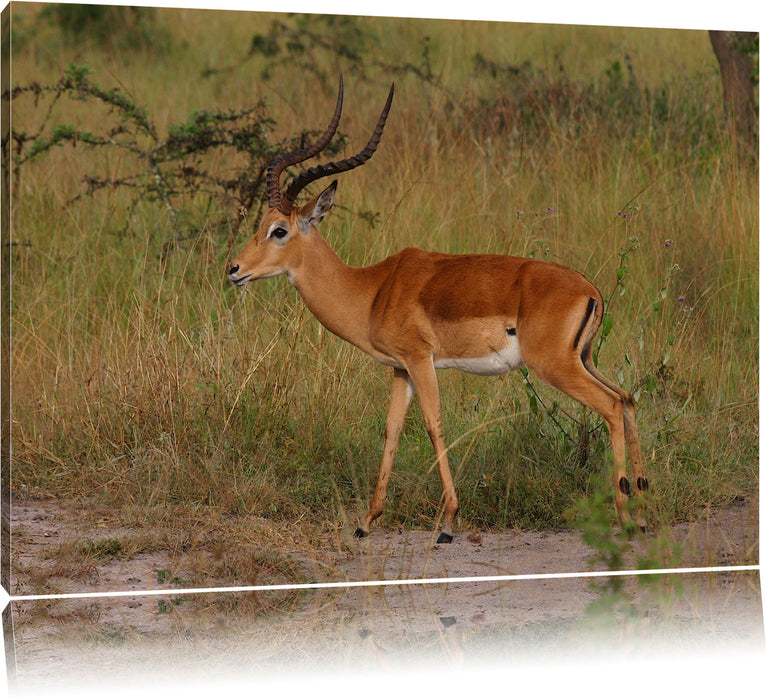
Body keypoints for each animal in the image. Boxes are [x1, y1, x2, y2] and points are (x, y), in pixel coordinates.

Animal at [226, 79, 648, 544]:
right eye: (259, 225)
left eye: (279, 230)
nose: (234, 269)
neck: (373, 290)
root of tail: (591, 290)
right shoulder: (399, 369)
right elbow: (391, 429)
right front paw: (366, 521)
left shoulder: (419, 359)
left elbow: (433, 424)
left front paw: (447, 523)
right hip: (584, 360)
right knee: (627, 398)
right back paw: (643, 511)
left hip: (554, 365)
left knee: (611, 406)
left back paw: (626, 518)